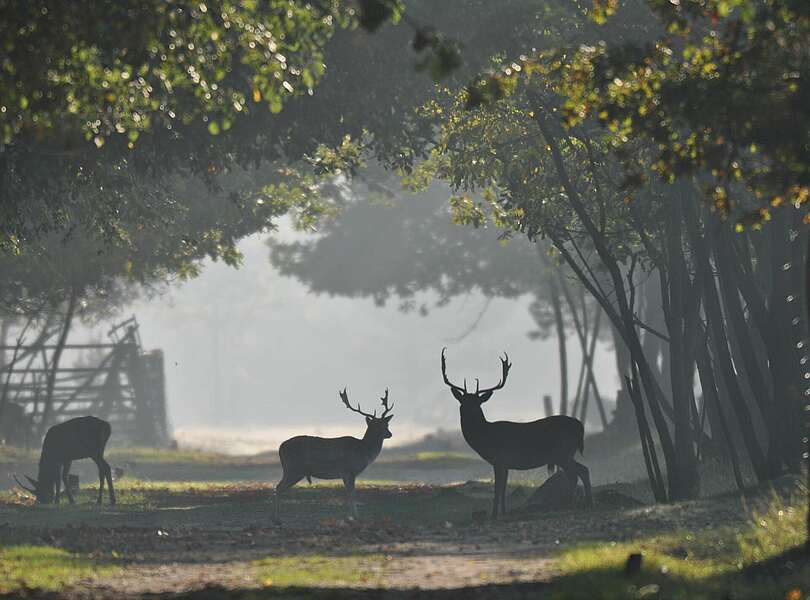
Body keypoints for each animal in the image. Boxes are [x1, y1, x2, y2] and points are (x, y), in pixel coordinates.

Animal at [274, 390, 394, 520]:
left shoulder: (345, 474)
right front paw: (355, 516)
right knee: (278, 487)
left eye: (386, 425)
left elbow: (349, 494)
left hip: (293, 470)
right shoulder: (349, 471)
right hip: (293, 469)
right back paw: (277, 517)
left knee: (279, 487)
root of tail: (280, 447)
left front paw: (350, 515)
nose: (390, 434)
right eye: (377, 426)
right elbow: (352, 494)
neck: (364, 450)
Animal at [438, 350, 592, 516]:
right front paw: (503, 512)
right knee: (578, 472)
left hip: (562, 452)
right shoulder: (505, 464)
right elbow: (503, 488)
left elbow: (498, 488)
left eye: (477, 403)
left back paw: (575, 503)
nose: (469, 411)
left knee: (579, 472)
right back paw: (579, 502)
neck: (485, 437)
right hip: (565, 454)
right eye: (463, 402)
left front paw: (494, 514)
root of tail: (580, 426)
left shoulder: (499, 460)